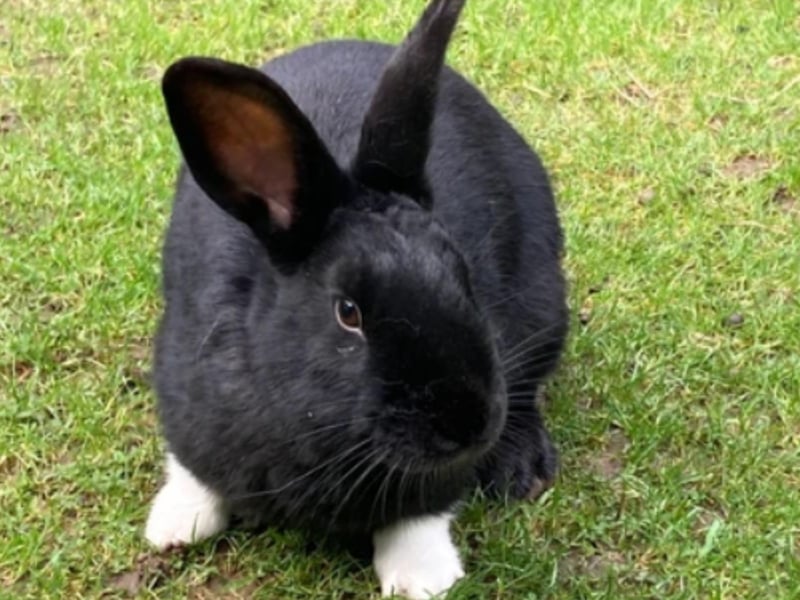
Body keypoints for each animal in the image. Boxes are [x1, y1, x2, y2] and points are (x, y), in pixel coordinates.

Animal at [144, 0, 568, 597]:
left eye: (463, 275)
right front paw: (176, 524)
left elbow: (423, 509)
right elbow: (191, 463)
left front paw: (420, 576)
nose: (469, 424)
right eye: (349, 313)